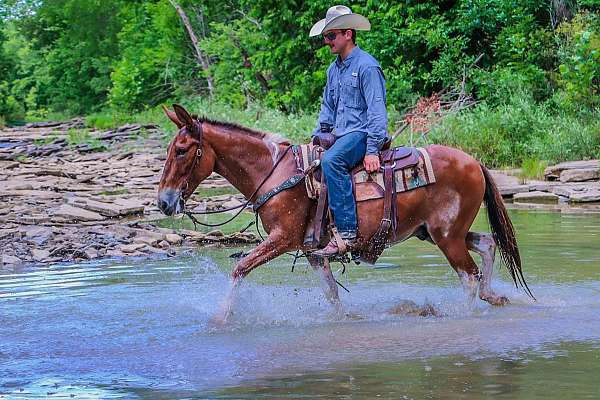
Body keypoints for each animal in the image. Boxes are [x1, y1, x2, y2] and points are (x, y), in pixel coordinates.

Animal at [158, 105, 528, 322]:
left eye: (181, 150)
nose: (163, 202)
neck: (277, 173)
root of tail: (474, 162)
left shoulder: (283, 238)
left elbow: (239, 268)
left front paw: (220, 318)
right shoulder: (312, 250)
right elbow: (331, 294)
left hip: (447, 236)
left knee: (469, 275)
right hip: (437, 232)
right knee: (488, 244)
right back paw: (494, 296)